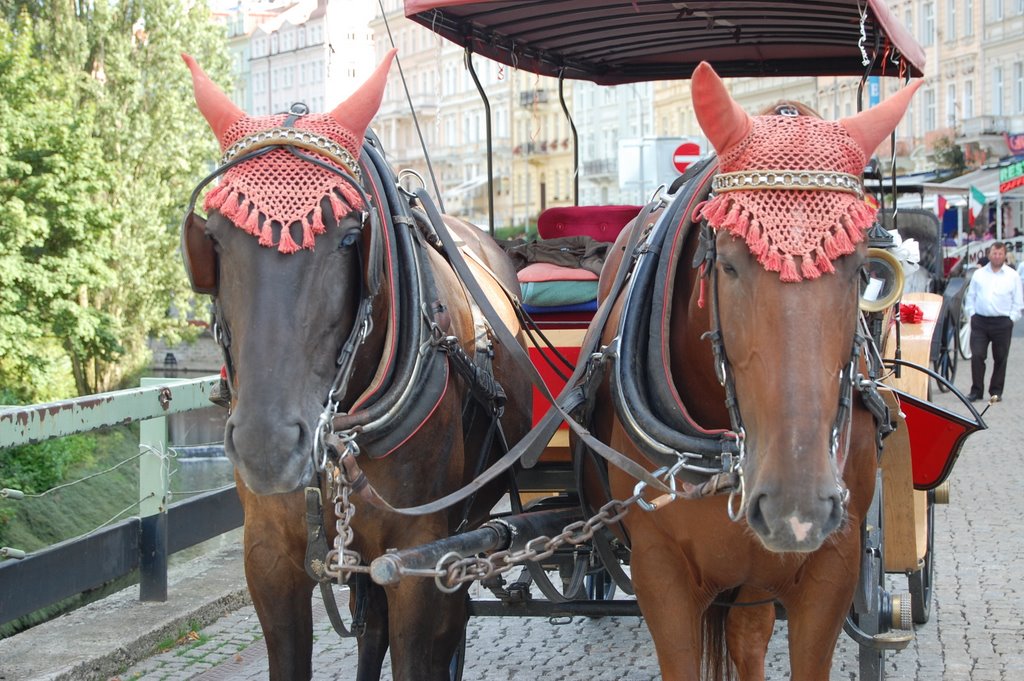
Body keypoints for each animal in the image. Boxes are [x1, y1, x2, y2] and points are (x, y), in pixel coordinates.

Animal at [179, 50, 528, 675]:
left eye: (347, 238)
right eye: (212, 238)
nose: (268, 446)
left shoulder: (417, 558)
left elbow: (419, 652)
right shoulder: (268, 557)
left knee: (446, 623)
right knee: (377, 631)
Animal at [585, 61, 921, 675]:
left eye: (862, 265)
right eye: (729, 263)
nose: (797, 507)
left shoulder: (831, 567)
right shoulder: (658, 571)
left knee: (747, 633)